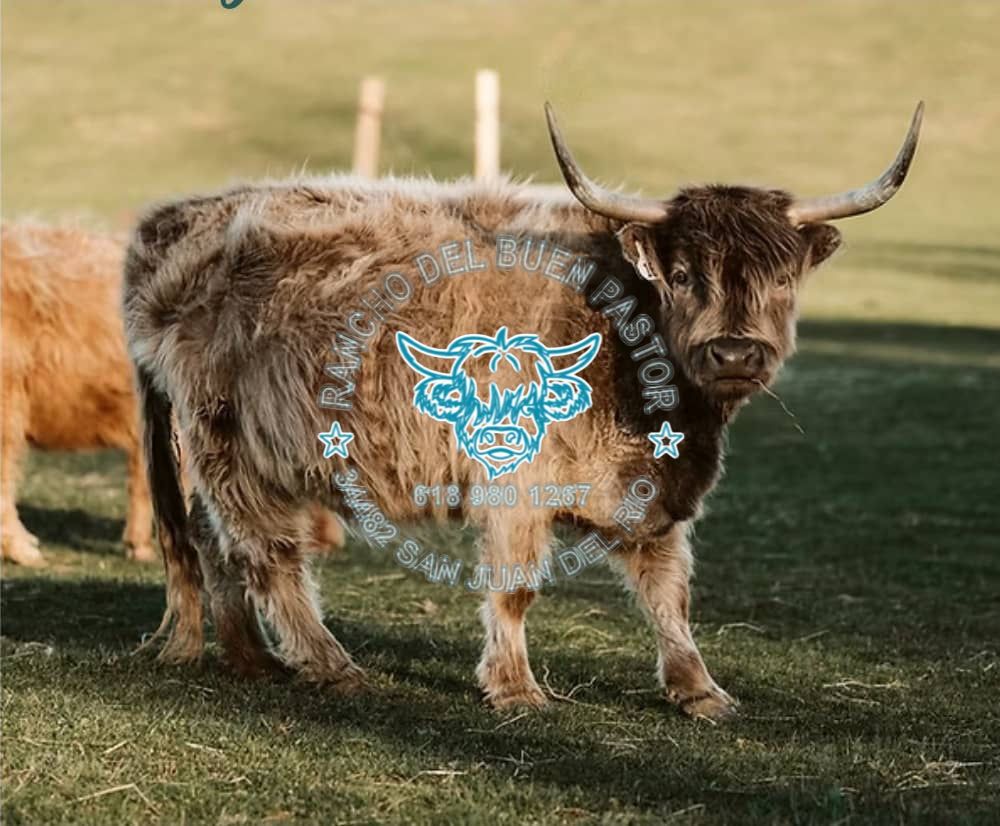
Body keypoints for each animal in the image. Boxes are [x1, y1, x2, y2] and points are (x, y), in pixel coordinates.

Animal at [124, 102, 921, 719]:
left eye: (783, 278)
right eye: (683, 274)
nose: (733, 353)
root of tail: (175, 219)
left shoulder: (652, 488)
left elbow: (669, 592)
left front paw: (700, 690)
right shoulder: (515, 484)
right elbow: (515, 586)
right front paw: (513, 688)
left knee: (213, 541)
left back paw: (250, 656)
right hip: (232, 443)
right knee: (266, 553)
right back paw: (330, 665)